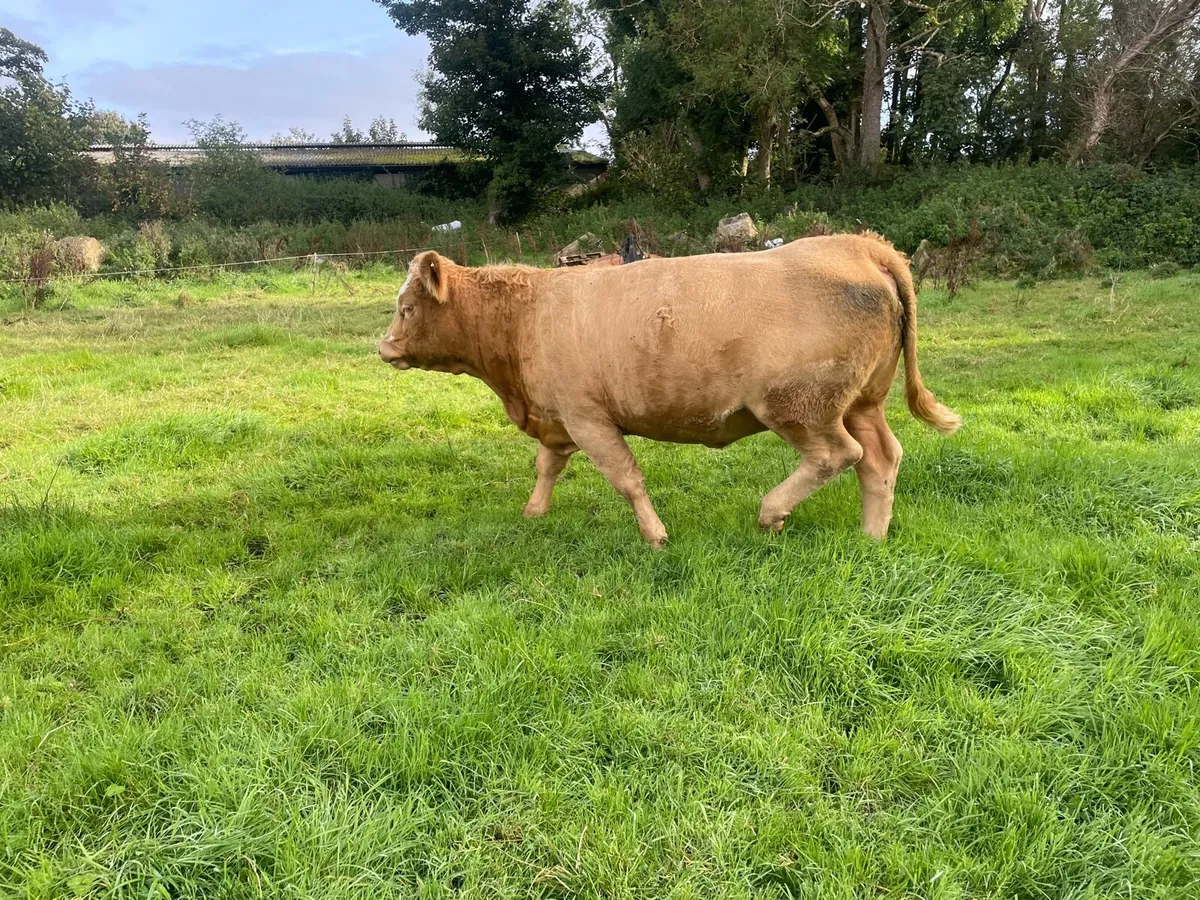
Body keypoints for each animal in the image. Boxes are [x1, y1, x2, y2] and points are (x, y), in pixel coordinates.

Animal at [379, 233, 961, 548]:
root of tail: (858, 245)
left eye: (406, 308)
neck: (526, 316)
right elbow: (547, 467)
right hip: (862, 401)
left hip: (801, 406)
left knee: (838, 455)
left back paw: (772, 512)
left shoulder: (588, 418)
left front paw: (655, 536)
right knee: (880, 459)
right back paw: (872, 536)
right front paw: (533, 514)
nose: (383, 347)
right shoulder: (559, 418)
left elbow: (627, 479)